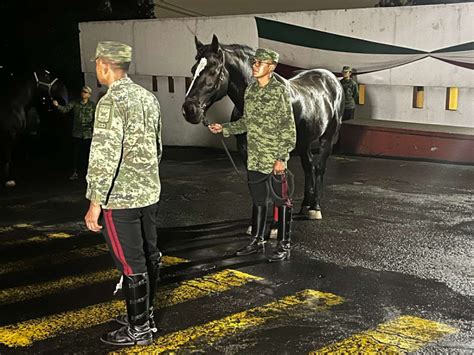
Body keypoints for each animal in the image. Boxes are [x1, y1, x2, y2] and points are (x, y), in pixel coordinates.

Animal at [182, 35, 344, 220]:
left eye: (213, 71)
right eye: (193, 69)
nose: (189, 110)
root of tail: (332, 79)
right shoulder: (246, 151)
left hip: (327, 138)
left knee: (319, 168)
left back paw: (315, 208)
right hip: (304, 141)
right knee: (309, 167)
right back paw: (305, 206)